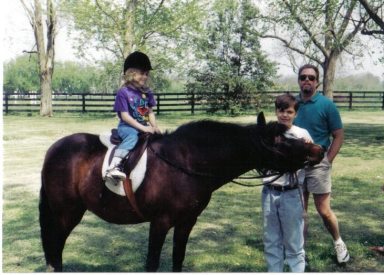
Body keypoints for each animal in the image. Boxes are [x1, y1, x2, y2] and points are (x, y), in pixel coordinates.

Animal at [39, 113, 324, 272]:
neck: (186, 163)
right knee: (56, 251)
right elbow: (153, 263)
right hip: (66, 215)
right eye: (279, 141)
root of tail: (54, 148)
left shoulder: (187, 222)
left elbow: (178, 258)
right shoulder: (160, 223)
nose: (317, 150)